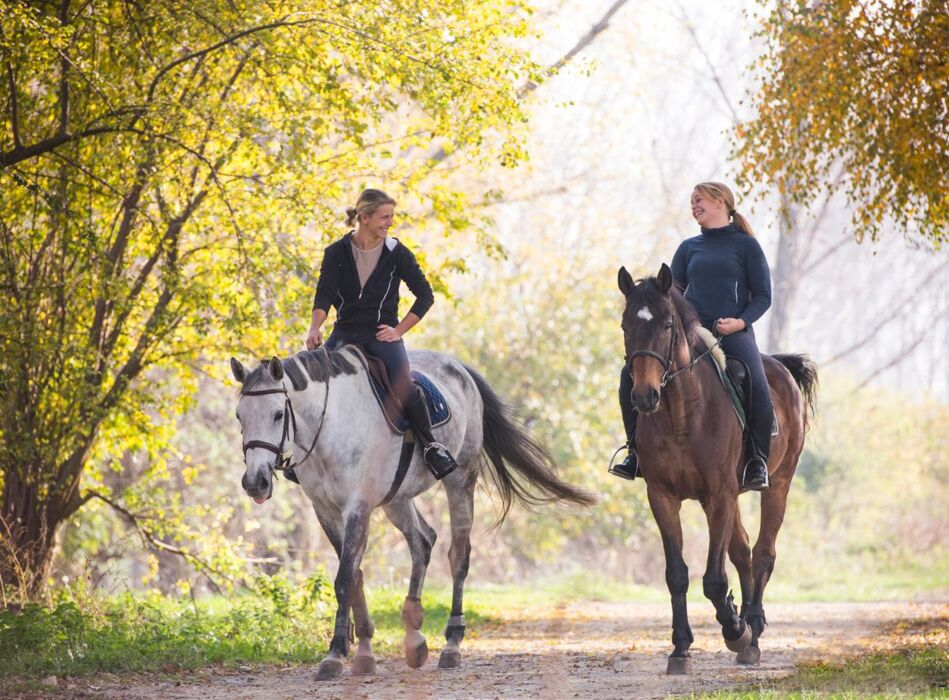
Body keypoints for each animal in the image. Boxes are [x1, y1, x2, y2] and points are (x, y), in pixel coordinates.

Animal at [230, 345, 594, 679]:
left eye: (278, 414)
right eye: (239, 416)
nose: (255, 483)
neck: (329, 425)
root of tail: (458, 366)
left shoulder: (358, 507)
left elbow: (345, 578)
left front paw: (334, 655)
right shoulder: (325, 510)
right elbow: (355, 576)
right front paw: (363, 651)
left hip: (460, 482)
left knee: (458, 556)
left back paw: (451, 644)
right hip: (398, 499)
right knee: (423, 541)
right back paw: (415, 636)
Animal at [617, 263, 817, 674]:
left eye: (666, 324)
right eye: (626, 324)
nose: (644, 396)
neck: (681, 414)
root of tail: (780, 367)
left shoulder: (717, 496)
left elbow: (713, 578)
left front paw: (735, 630)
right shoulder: (662, 497)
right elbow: (677, 574)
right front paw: (680, 649)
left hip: (778, 483)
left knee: (763, 553)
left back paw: (751, 636)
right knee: (742, 552)